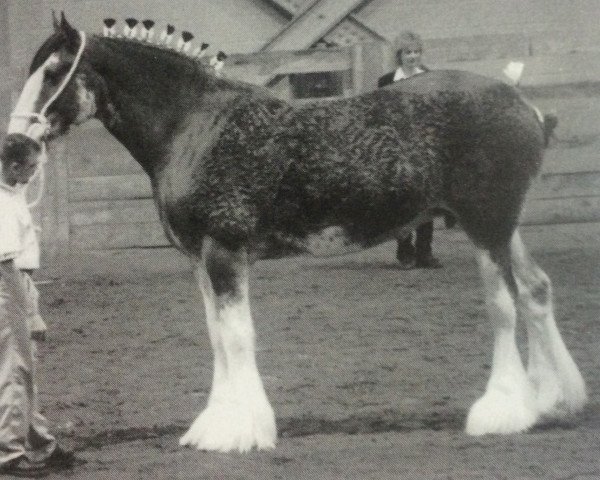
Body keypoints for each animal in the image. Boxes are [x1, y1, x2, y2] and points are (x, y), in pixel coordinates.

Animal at [3, 13, 584, 452]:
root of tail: (523, 102)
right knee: (536, 289)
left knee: (504, 306)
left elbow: (238, 335)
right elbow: (216, 335)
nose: (16, 149)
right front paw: (216, 424)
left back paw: (503, 412)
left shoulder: (225, 250)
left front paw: (241, 431)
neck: (192, 125)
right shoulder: (200, 259)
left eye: (53, 71)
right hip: (503, 227)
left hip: (486, 226)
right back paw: (556, 399)